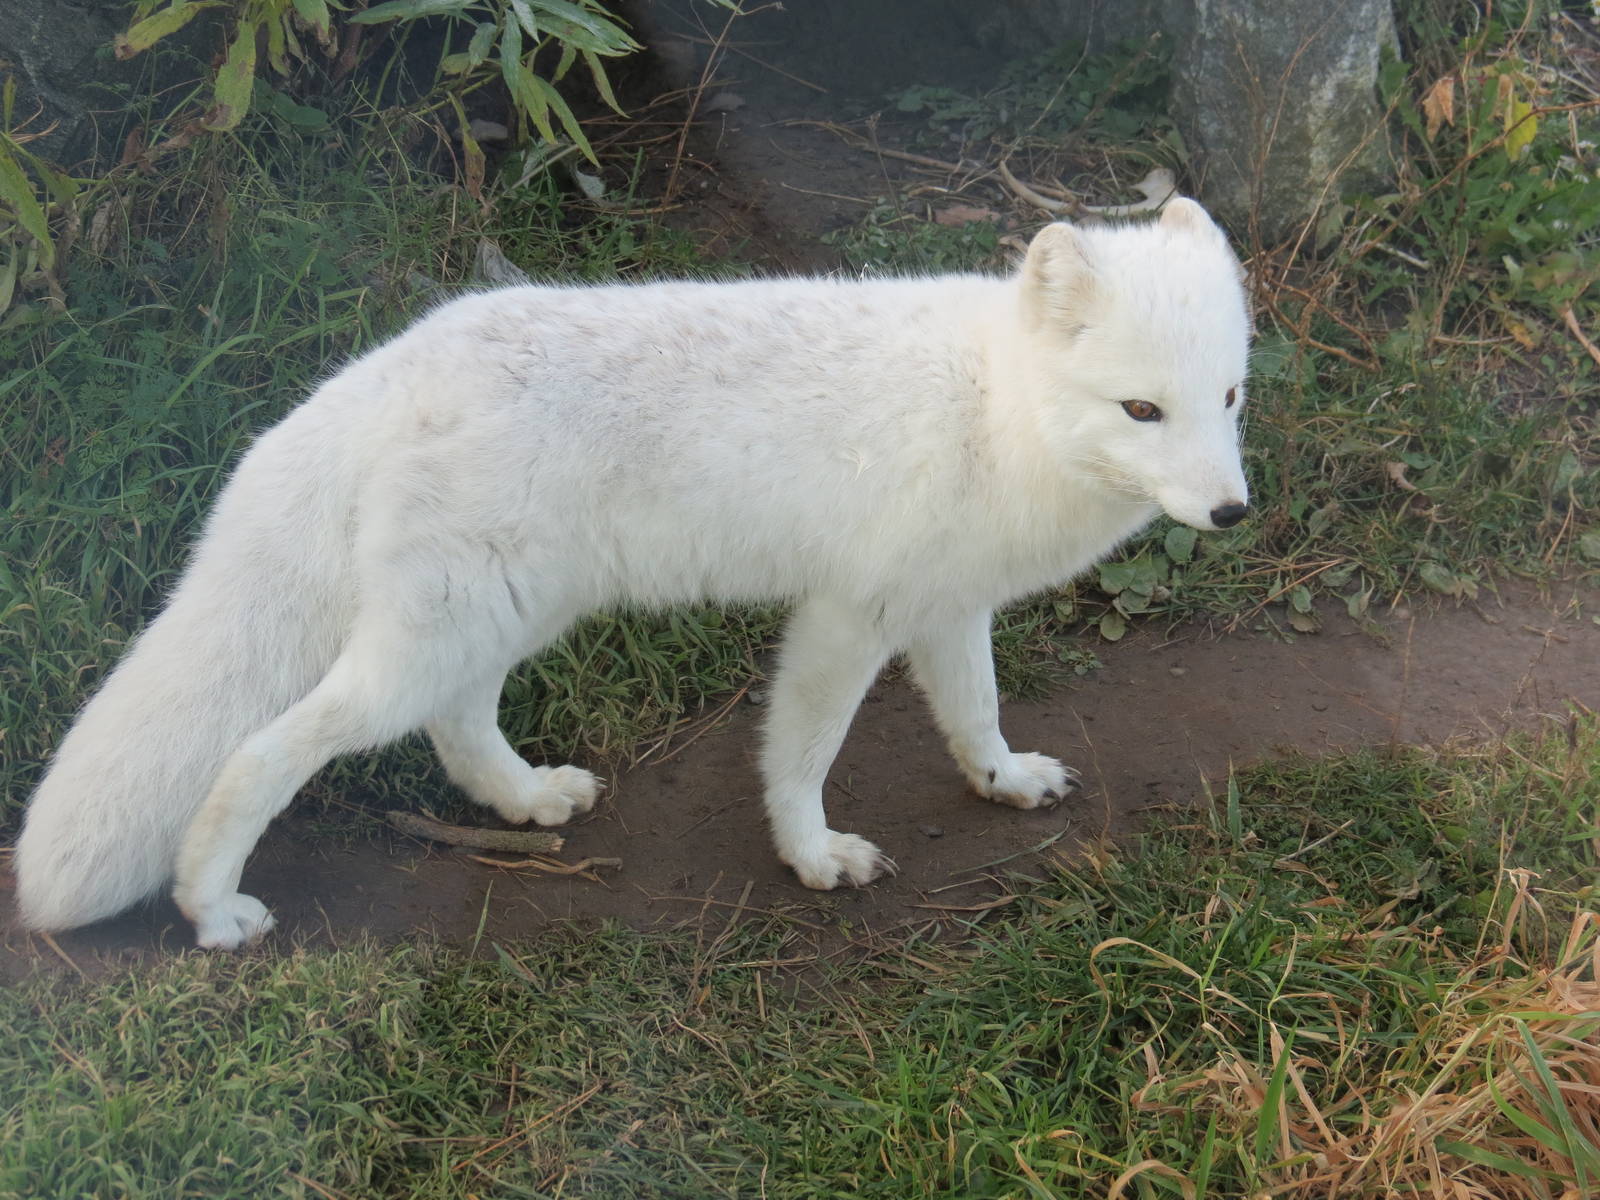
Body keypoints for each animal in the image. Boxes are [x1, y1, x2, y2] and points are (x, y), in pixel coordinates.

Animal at [14, 197, 1251, 950]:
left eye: (1230, 397)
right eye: (1141, 410)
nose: (1231, 512)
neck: (994, 406)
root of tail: (397, 360)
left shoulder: (944, 607)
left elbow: (977, 714)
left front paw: (1002, 782)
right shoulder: (850, 616)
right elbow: (801, 756)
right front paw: (811, 857)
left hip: (504, 619)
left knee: (459, 725)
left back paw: (523, 799)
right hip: (438, 640)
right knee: (265, 751)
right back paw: (211, 907)